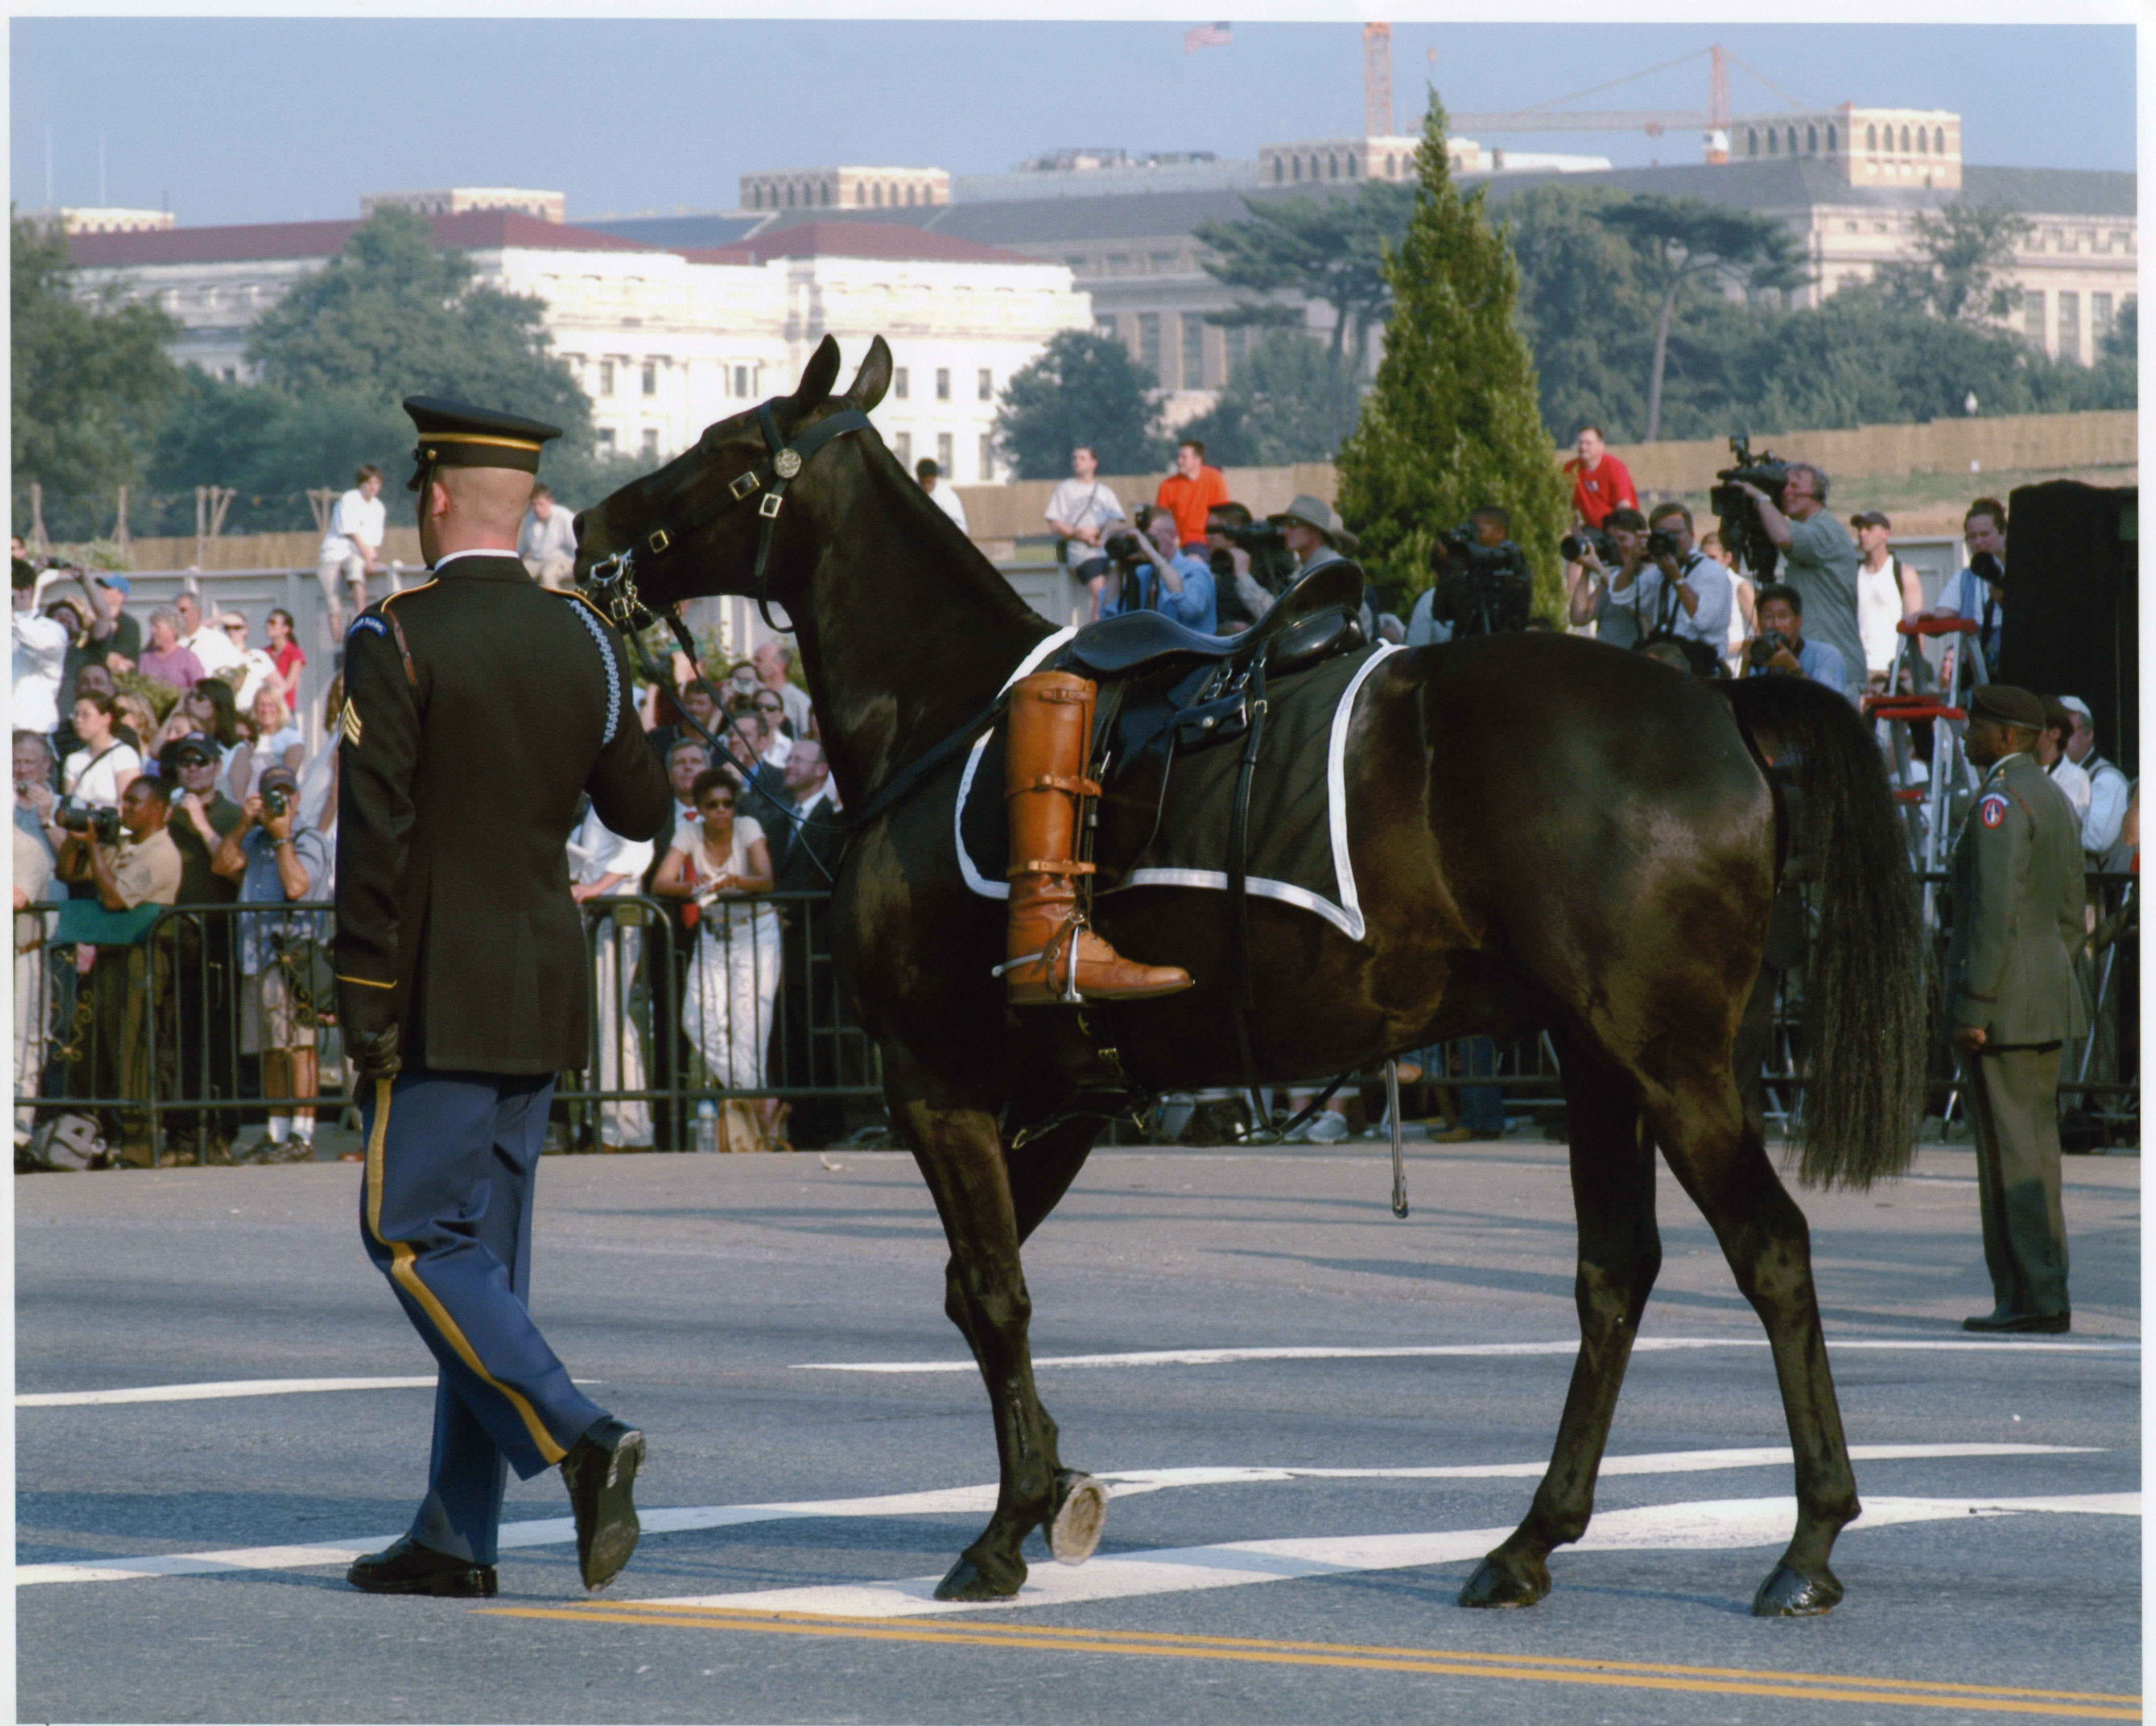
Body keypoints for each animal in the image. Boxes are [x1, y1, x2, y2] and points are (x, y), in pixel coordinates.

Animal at [573, 334, 1923, 1620]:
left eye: (723, 449)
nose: (590, 531)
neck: (953, 720)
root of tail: (1719, 703)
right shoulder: (1070, 1094)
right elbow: (976, 1286)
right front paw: (1052, 1485)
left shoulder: (933, 1079)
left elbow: (993, 1292)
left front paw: (1006, 1525)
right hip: (1596, 1062)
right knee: (1614, 1274)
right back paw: (1529, 1540)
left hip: (1666, 1061)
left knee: (1768, 1248)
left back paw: (1806, 1539)